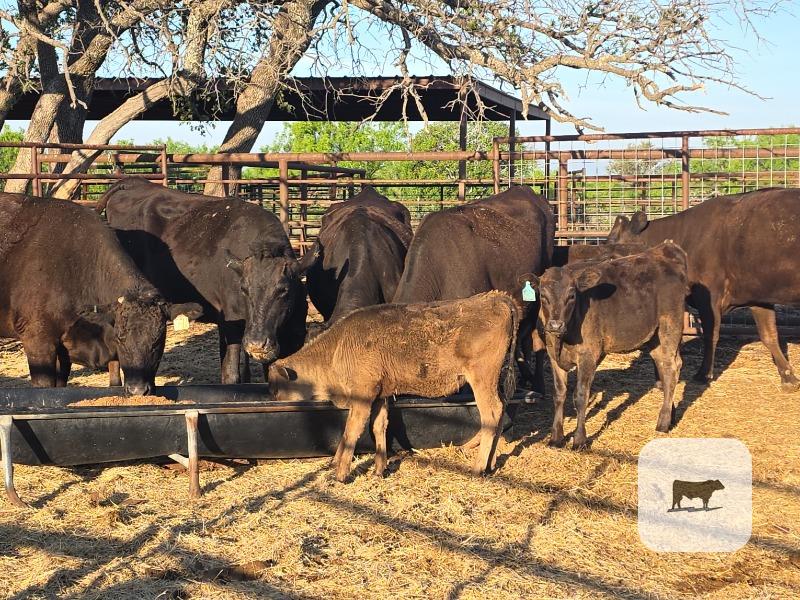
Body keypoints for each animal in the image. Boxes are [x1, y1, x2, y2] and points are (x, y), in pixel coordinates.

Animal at [97, 177, 310, 383]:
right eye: (243, 289)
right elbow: (231, 373)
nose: (256, 344)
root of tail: (134, 182)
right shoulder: (231, 323)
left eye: (284, 290)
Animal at [268, 291, 519, 482]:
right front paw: (379, 470)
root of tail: (497, 298)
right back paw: (490, 465)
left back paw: (477, 468)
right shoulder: (381, 396)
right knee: (501, 411)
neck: (337, 347)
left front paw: (340, 473)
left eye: (277, 388)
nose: (273, 400)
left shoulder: (363, 397)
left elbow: (351, 431)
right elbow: (378, 427)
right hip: (493, 381)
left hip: (481, 380)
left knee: (491, 413)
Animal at [529, 241, 689, 448]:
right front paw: (556, 438)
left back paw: (663, 422)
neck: (562, 340)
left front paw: (579, 440)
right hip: (654, 336)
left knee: (672, 368)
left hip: (670, 326)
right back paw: (670, 415)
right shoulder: (553, 357)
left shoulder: (589, 355)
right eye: (543, 295)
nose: (556, 325)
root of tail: (665, 249)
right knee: (663, 366)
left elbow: (580, 396)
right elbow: (559, 394)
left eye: (572, 295)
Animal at [608, 188, 800, 390]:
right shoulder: (758, 297)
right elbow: (769, 335)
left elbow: (711, 335)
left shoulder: (709, 297)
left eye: (613, 245)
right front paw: (788, 377)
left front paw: (703, 373)